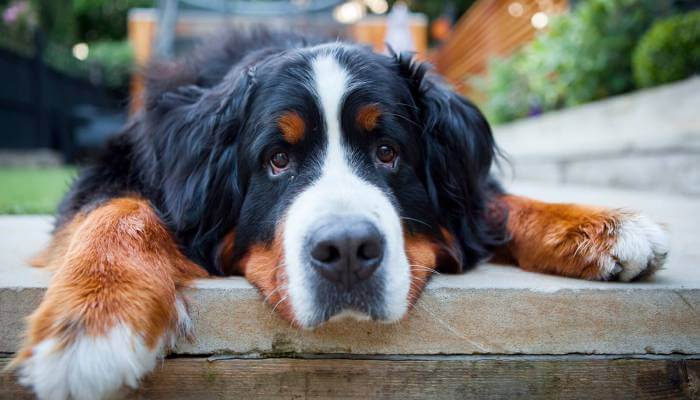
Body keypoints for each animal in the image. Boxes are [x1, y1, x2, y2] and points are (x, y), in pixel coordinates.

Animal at [10, 29, 668, 398]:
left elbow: (495, 202)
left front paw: (601, 227)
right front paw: (95, 323)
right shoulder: (118, 171)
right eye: (277, 160)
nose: (348, 250)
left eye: (388, 153)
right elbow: (118, 209)